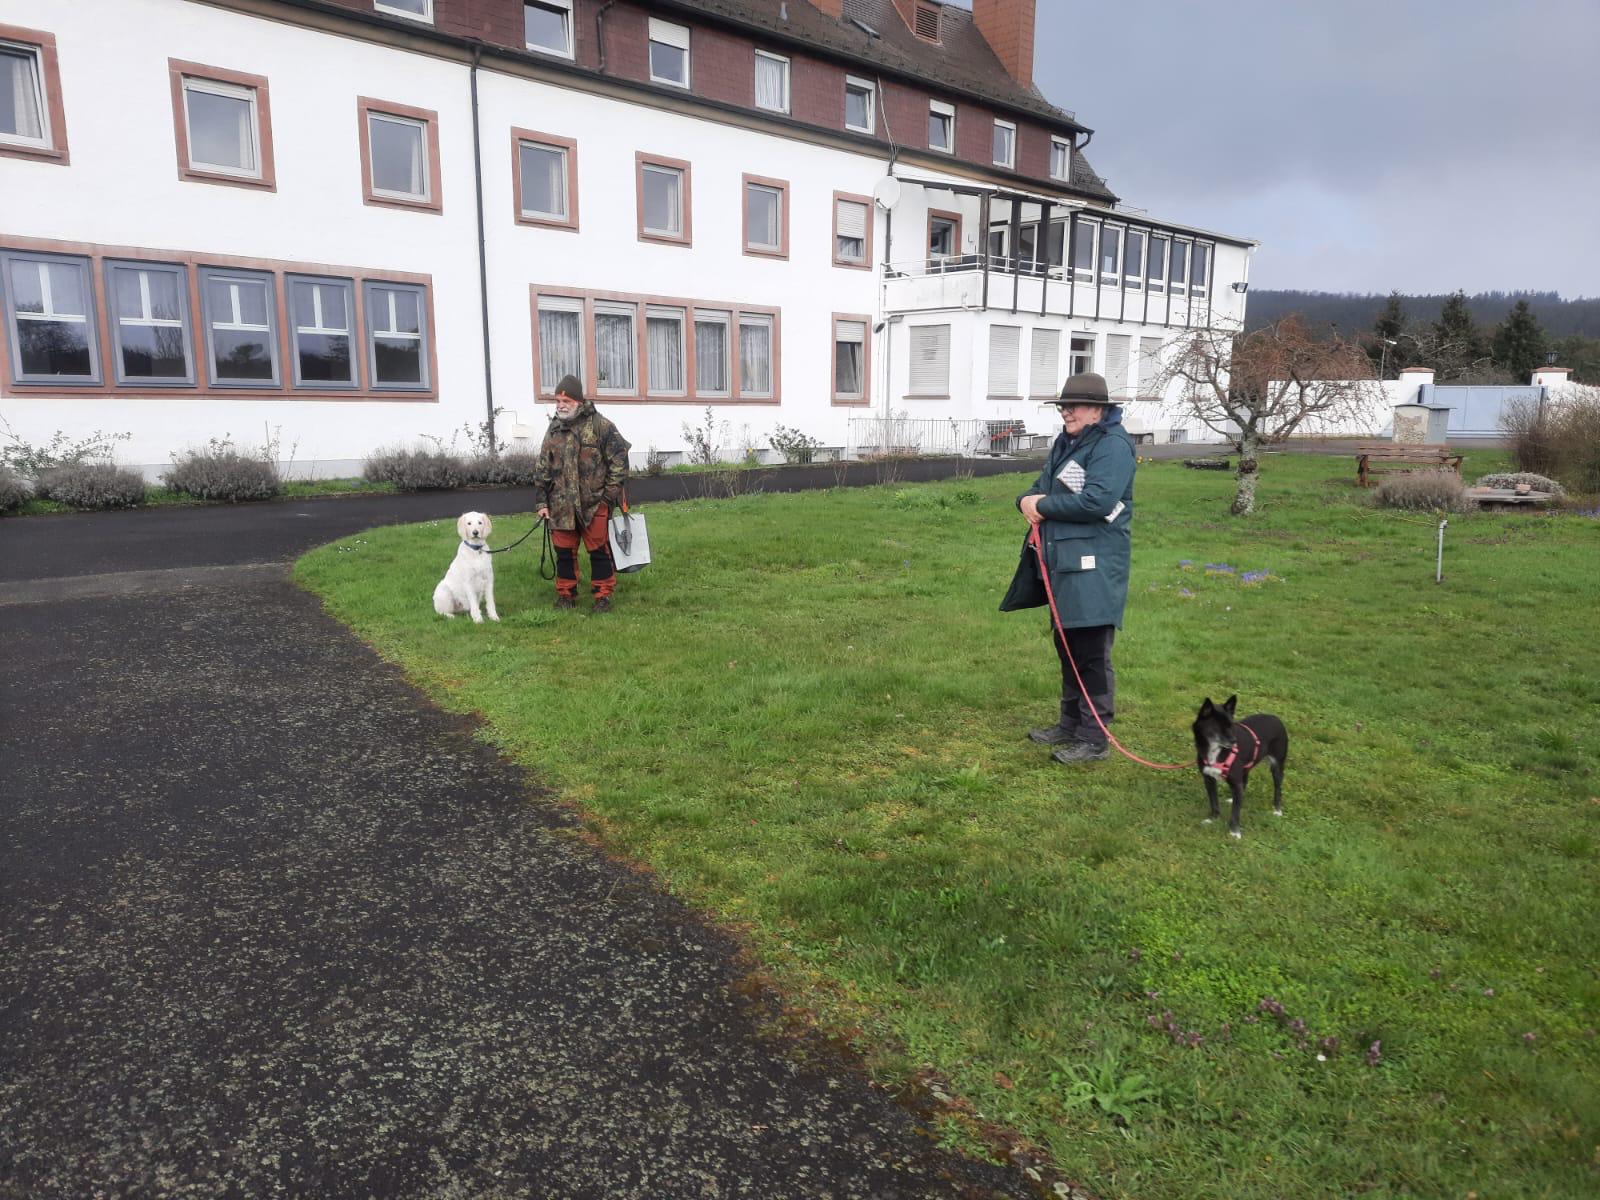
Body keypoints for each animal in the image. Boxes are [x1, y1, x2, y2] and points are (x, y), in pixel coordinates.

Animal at [1192, 695, 1288, 839]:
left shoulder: (1234, 781)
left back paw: (1277, 810)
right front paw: (1213, 819)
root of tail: (1276, 718)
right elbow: (1214, 802)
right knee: (1243, 785)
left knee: (1278, 788)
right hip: (1245, 768)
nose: (1234, 741)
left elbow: (1235, 812)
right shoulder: (1209, 779)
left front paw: (1234, 832)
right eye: (1218, 727)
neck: (1216, 751)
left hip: (1277, 766)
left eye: (1231, 725)